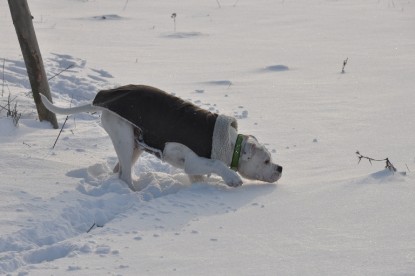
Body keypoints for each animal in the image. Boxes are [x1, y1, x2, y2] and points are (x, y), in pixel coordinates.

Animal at [41, 85, 282, 191]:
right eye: (266, 161)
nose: (280, 168)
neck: (231, 145)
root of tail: (103, 99)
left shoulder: (194, 168)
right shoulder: (194, 160)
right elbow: (216, 164)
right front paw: (232, 178)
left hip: (135, 144)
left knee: (119, 170)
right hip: (124, 138)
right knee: (124, 175)